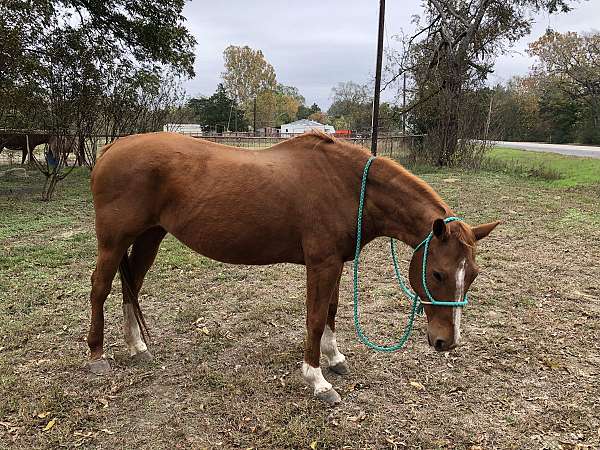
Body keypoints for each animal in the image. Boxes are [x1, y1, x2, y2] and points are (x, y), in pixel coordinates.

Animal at [86, 131, 500, 404]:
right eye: (437, 274)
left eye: (472, 276)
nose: (446, 342)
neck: (347, 186)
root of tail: (112, 147)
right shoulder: (321, 264)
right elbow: (315, 319)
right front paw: (317, 380)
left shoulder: (336, 263)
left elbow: (331, 312)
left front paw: (335, 359)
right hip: (113, 241)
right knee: (100, 288)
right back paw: (97, 356)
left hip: (150, 236)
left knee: (133, 286)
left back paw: (137, 347)